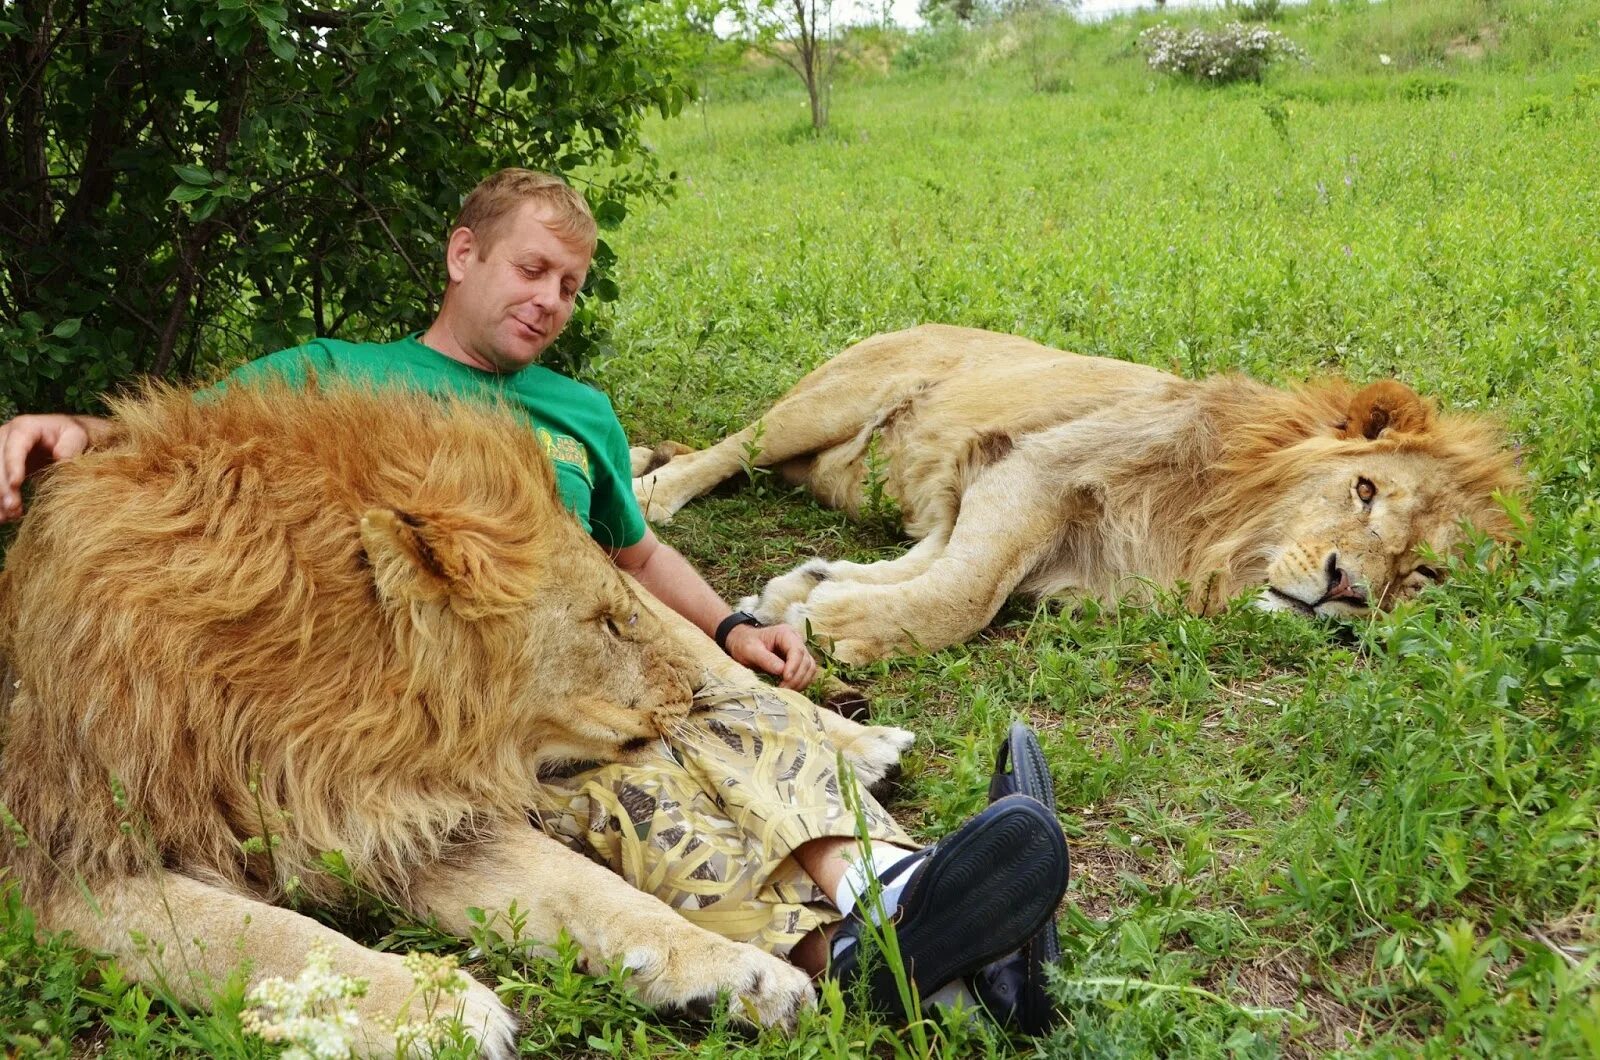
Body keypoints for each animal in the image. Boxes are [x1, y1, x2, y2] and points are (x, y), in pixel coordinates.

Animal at [633, 328, 1523, 669]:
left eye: (1421, 575)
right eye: (1364, 490)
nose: (1347, 587)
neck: (1218, 528)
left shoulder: (993, 493)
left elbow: (939, 566)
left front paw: (810, 593)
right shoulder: (1037, 467)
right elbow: (965, 593)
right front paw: (840, 624)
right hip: (823, 404)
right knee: (722, 450)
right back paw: (650, 492)